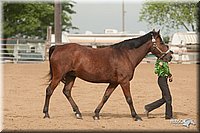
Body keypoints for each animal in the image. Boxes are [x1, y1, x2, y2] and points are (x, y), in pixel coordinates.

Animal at [42, 29, 170, 121]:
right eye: (161, 42)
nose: (170, 56)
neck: (125, 54)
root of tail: (57, 47)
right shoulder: (124, 82)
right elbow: (129, 99)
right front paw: (136, 116)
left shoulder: (114, 83)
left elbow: (105, 97)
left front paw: (96, 114)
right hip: (58, 76)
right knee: (49, 90)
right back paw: (46, 113)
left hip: (70, 76)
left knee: (67, 92)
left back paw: (78, 113)